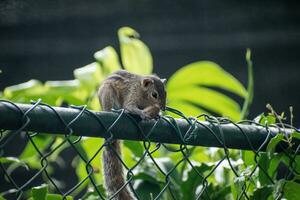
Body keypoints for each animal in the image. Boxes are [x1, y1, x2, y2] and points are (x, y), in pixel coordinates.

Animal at [98, 69, 166, 199]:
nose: (163, 108)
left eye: (165, 93)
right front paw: (142, 114)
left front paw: (157, 115)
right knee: (112, 108)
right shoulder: (132, 95)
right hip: (108, 94)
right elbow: (130, 107)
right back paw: (117, 111)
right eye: (154, 94)